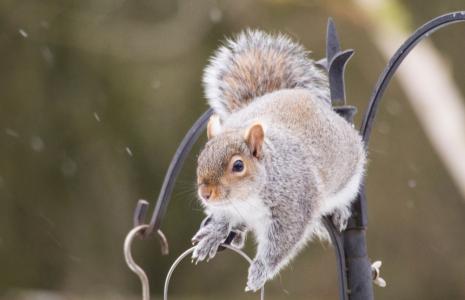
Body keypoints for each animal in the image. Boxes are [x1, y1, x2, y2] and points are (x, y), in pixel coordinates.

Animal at [190, 29, 364, 292]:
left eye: (238, 165)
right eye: (201, 158)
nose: (205, 194)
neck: (246, 198)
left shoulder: (293, 208)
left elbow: (281, 245)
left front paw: (260, 271)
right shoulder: (227, 207)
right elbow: (222, 219)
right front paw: (213, 235)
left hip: (349, 178)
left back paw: (340, 212)